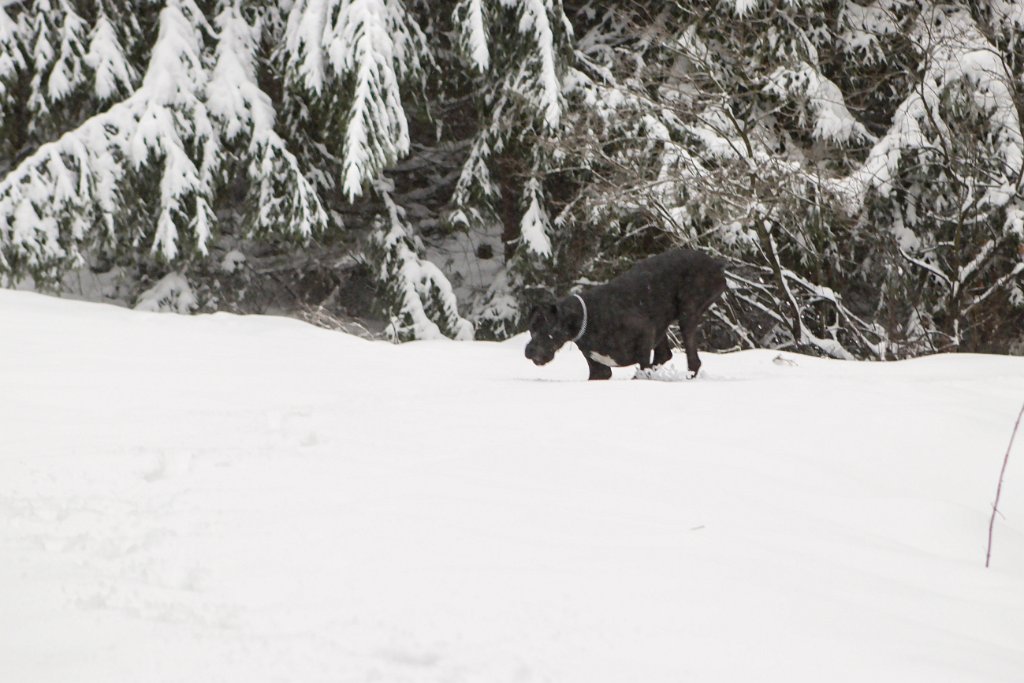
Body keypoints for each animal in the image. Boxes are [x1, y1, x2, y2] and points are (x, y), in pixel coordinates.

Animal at [528, 249, 729, 378]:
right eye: (531, 328)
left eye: (548, 328)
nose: (528, 350)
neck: (587, 317)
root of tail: (715, 264)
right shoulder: (599, 371)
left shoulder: (645, 333)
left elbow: (643, 367)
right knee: (665, 355)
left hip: (687, 312)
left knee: (692, 361)